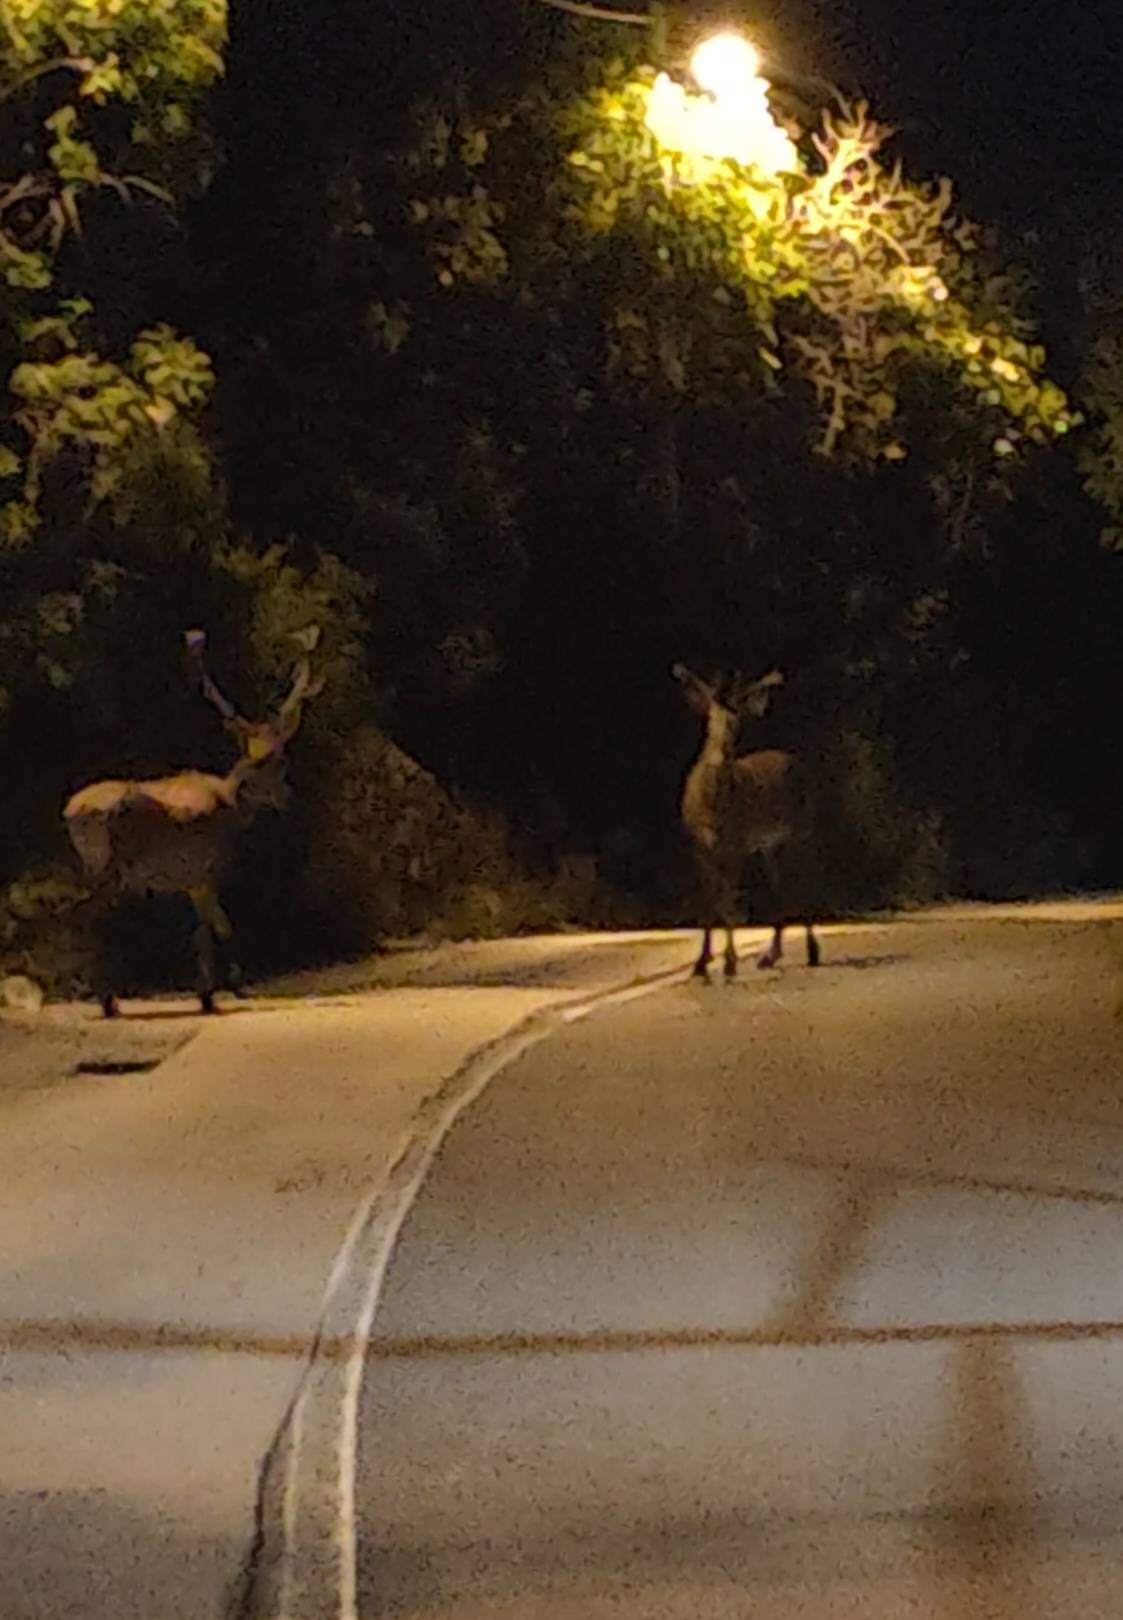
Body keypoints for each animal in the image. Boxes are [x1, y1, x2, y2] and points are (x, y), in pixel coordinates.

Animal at [64, 625, 322, 1017]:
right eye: (281, 762)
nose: (287, 798)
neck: (230, 805)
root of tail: (70, 811)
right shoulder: (207, 868)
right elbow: (215, 929)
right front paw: (215, 993)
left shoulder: (189, 880)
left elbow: (209, 927)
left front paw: (217, 991)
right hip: (110, 864)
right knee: (87, 915)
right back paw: (108, 1001)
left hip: (95, 865)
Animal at [670, 664, 819, 978]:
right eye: (708, 721)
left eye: (737, 726)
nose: (718, 758)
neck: (714, 805)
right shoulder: (698, 845)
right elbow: (709, 903)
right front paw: (701, 963)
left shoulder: (736, 844)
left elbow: (731, 902)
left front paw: (728, 962)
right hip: (771, 847)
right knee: (779, 888)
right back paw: (771, 956)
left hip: (803, 832)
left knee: (805, 884)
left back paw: (812, 952)